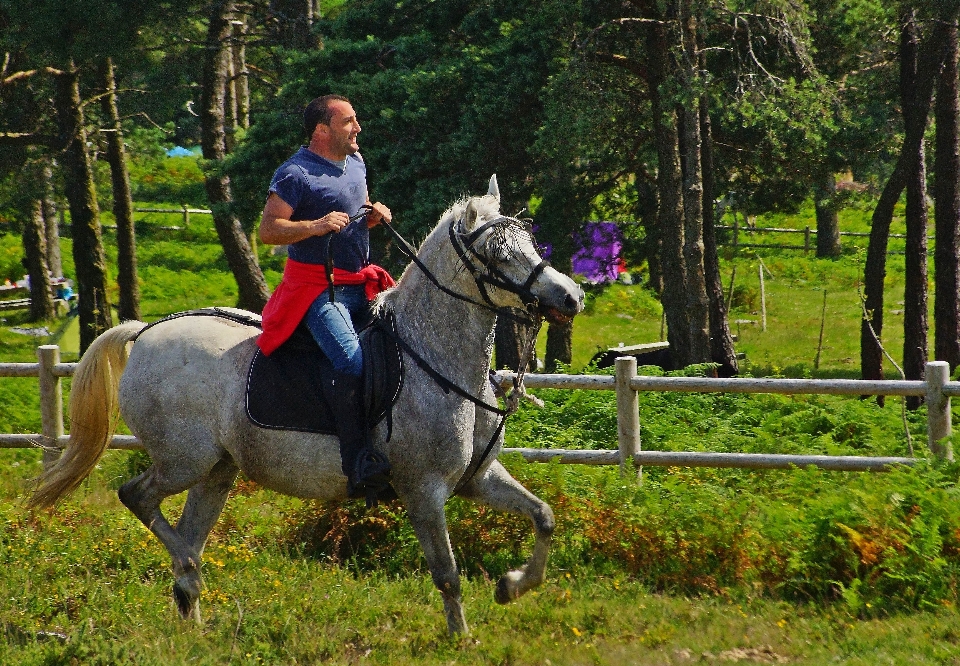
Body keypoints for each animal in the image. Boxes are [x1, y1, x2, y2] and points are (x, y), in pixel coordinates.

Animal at [28, 176, 584, 632]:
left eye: (529, 243)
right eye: (498, 253)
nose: (571, 297)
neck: (432, 355)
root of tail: (145, 332)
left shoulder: (479, 478)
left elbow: (544, 516)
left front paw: (513, 584)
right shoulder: (423, 490)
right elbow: (447, 573)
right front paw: (461, 637)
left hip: (217, 470)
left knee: (186, 529)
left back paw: (192, 610)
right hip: (184, 459)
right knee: (139, 498)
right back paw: (188, 570)